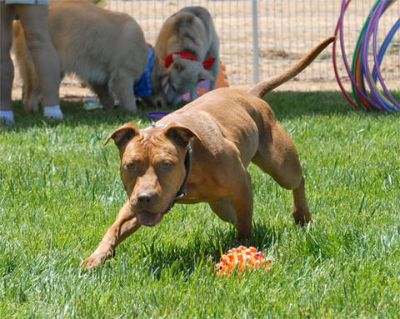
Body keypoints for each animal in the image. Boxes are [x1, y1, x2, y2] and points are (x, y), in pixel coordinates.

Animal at [14, 0, 149, 112]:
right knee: (32, 94)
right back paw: (34, 110)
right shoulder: (123, 74)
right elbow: (126, 95)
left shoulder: (98, 78)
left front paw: (109, 109)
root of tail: (19, 25)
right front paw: (132, 112)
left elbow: (104, 93)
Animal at [82, 36, 334, 272]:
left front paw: (243, 248)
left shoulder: (242, 183)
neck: (190, 163)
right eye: (130, 165)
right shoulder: (136, 203)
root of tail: (249, 94)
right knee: (235, 212)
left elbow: (245, 226)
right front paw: (96, 257)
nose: (145, 198)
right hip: (220, 204)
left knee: (297, 181)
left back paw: (301, 215)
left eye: (167, 164)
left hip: (280, 164)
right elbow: (115, 228)